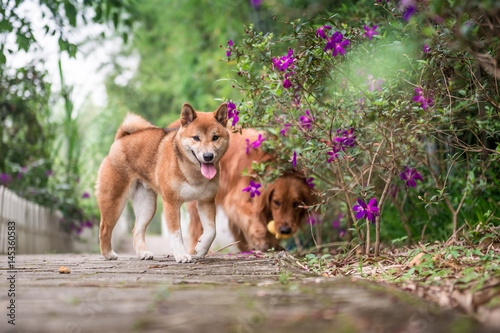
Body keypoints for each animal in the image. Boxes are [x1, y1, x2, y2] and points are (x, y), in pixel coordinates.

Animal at [94, 102, 229, 264]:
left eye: (215, 137)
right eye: (196, 138)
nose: (208, 156)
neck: (192, 172)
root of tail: (121, 139)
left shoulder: (206, 201)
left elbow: (211, 231)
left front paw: (201, 249)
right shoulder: (171, 203)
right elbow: (176, 234)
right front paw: (182, 255)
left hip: (147, 206)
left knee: (136, 230)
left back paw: (143, 253)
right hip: (114, 201)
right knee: (104, 228)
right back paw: (108, 254)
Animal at [186, 129, 314, 252]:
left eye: (296, 204)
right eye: (276, 202)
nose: (285, 230)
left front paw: (271, 244)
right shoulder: (236, 200)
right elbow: (252, 217)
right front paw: (262, 238)